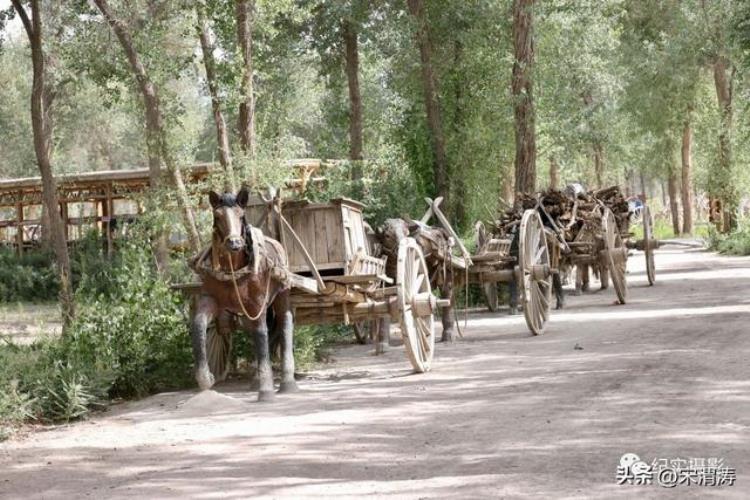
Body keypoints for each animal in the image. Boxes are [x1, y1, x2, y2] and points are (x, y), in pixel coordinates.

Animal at [189, 188, 298, 402]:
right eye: (217, 216)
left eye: (241, 215)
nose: (234, 243)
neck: (233, 270)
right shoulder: (210, 299)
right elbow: (198, 325)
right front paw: (205, 379)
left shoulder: (257, 305)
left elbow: (261, 335)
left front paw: (266, 390)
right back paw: (257, 379)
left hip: (282, 295)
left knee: (285, 324)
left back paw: (287, 381)